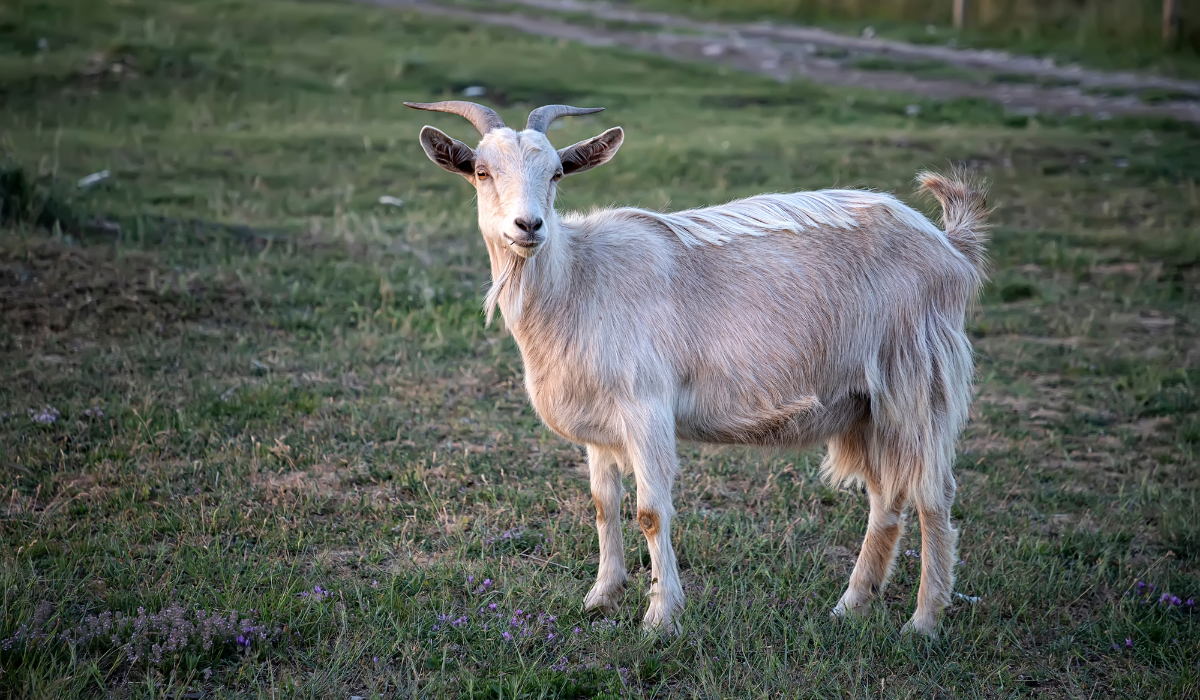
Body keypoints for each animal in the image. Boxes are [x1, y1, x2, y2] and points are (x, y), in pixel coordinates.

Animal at [406, 100, 988, 636]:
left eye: (555, 173)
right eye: (482, 171)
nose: (529, 225)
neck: (577, 279)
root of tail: (949, 246)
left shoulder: (645, 405)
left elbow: (650, 511)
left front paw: (661, 616)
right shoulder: (599, 421)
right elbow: (602, 503)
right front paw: (601, 597)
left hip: (918, 375)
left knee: (934, 494)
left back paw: (924, 621)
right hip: (866, 405)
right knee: (887, 497)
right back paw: (850, 605)